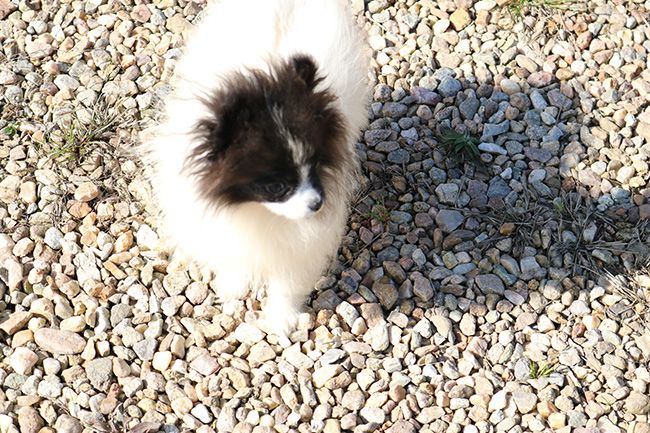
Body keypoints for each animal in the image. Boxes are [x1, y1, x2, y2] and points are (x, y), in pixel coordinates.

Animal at [143, 0, 370, 336]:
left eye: (314, 164)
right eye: (276, 186)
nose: (318, 204)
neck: (254, 209)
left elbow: (288, 280)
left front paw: (281, 319)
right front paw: (235, 285)